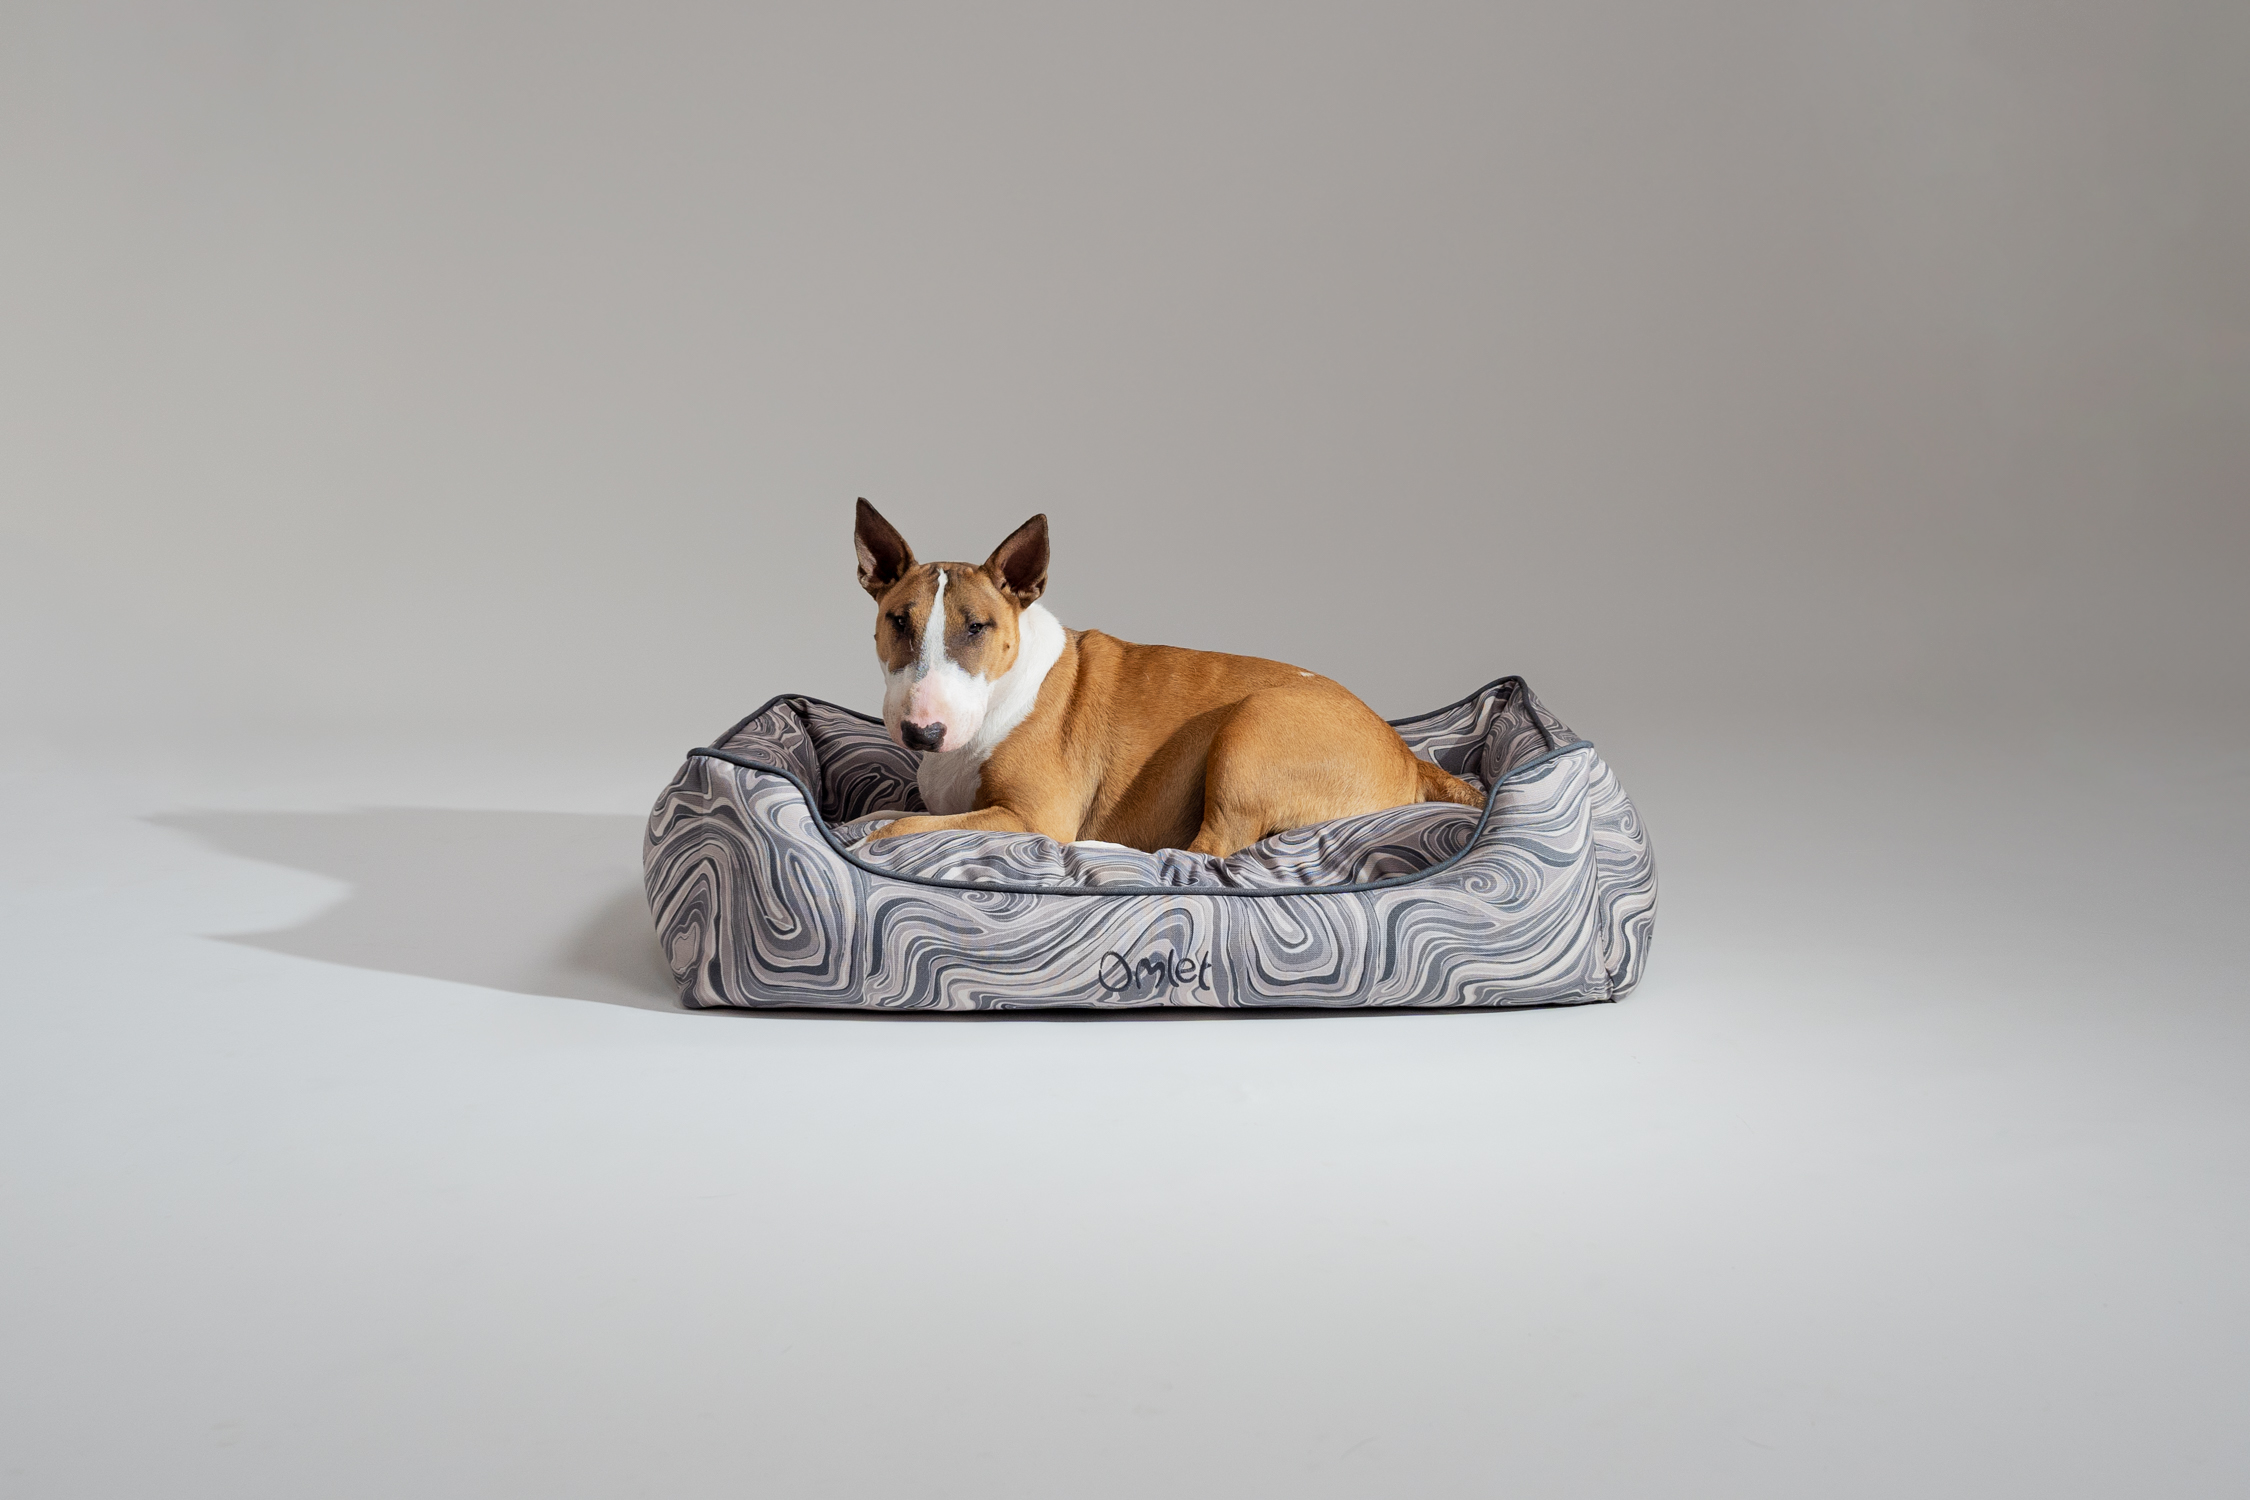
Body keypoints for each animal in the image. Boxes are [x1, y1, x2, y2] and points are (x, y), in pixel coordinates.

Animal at [850, 499, 1485, 854]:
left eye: (977, 627)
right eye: (897, 621)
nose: (922, 732)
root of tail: (1406, 754)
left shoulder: (1032, 818)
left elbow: (901, 831)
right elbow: (885, 815)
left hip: (1254, 725)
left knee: (1206, 853)